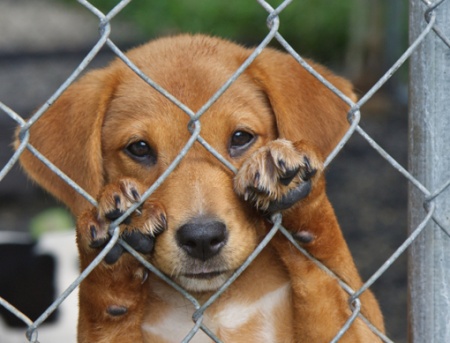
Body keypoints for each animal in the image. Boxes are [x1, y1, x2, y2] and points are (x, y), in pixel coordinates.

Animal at [16, 35, 384, 343]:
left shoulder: (359, 322)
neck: (215, 304)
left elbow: (327, 276)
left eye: (241, 137)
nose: (203, 238)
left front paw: (297, 191)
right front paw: (113, 250)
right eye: (139, 148)